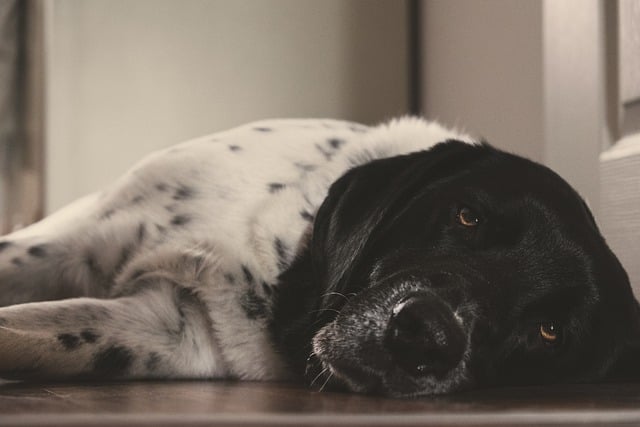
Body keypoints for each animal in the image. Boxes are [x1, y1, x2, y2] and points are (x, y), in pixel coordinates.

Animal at [1, 118, 640, 398]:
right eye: (467, 216)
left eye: (550, 331)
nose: (427, 335)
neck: (281, 266)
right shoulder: (77, 235)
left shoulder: (162, 327)